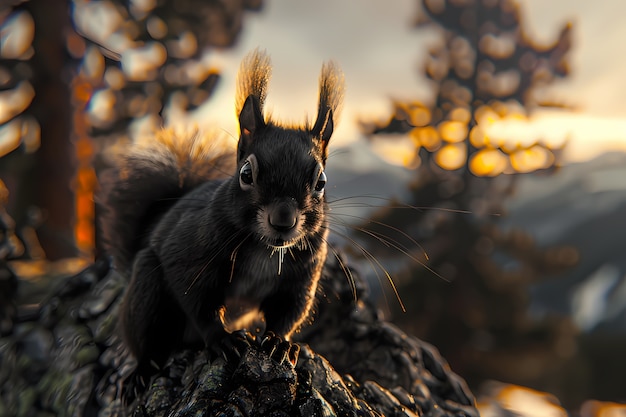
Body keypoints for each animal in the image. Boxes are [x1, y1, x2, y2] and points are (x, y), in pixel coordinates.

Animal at [96, 48, 346, 394]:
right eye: (246, 174)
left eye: (321, 182)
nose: (283, 220)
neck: (265, 249)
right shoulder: (190, 255)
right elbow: (197, 300)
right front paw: (222, 339)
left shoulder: (302, 274)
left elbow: (288, 311)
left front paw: (279, 342)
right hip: (146, 287)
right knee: (148, 337)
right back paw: (143, 369)